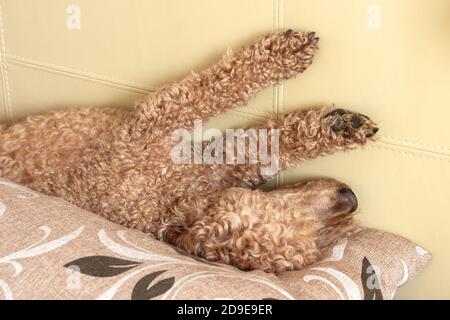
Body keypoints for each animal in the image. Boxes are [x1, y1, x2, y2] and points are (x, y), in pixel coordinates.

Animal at [0, 30, 380, 272]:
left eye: (317, 242)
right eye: (287, 219)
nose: (351, 197)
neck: (174, 197)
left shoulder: (218, 161)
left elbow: (266, 143)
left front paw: (341, 127)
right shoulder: (152, 121)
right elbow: (210, 90)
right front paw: (284, 54)